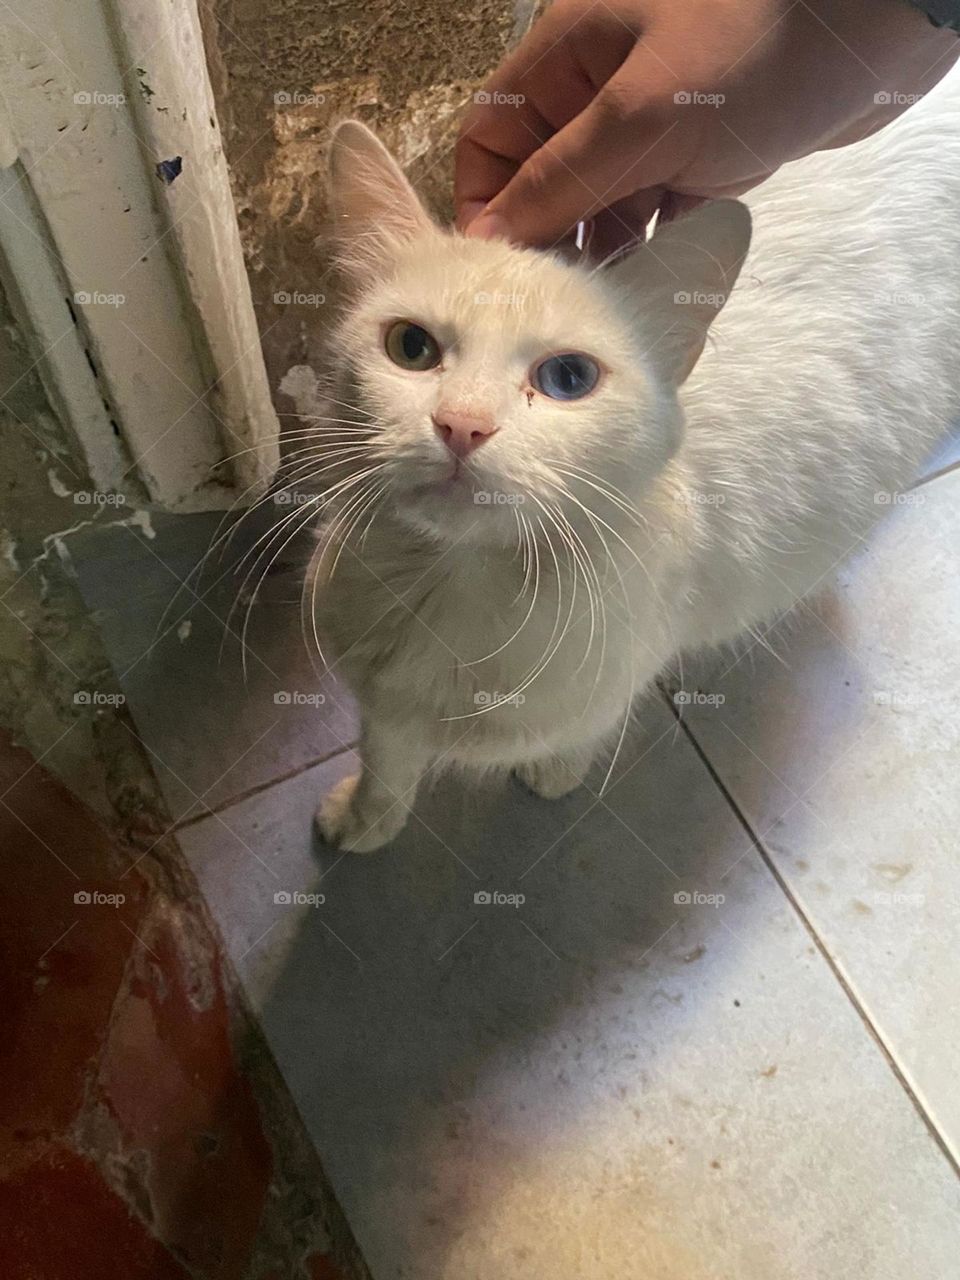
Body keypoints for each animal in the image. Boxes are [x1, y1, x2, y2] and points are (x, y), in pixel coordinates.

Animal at [295, 67, 960, 849]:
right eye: (411, 348)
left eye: (568, 379)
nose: (462, 425)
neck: (461, 584)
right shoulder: (380, 696)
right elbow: (386, 757)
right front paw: (364, 820)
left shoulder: (627, 658)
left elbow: (588, 724)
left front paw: (554, 772)